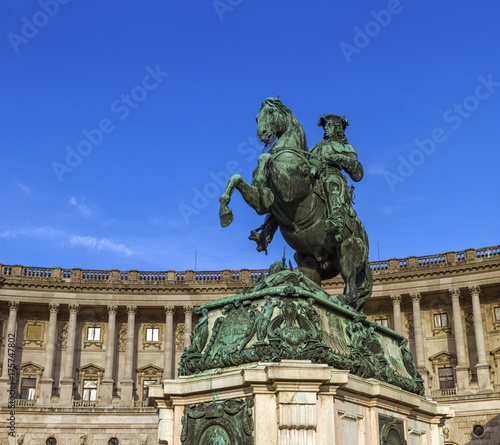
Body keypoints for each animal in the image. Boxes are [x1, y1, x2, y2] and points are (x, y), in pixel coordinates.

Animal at [218, 99, 372, 310]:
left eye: (271, 112)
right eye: (257, 117)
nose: (263, 134)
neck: (289, 154)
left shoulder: (291, 190)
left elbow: (265, 159)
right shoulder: (260, 202)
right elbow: (237, 178)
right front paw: (225, 211)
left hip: (348, 249)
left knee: (352, 290)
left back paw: (340, 300)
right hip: (308, 260)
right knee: (312, 283)